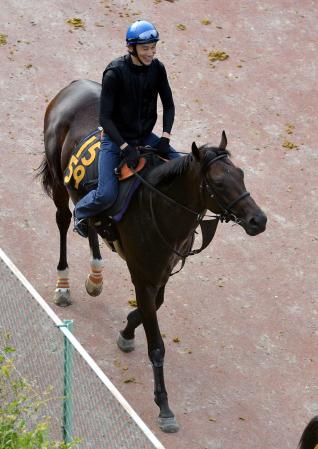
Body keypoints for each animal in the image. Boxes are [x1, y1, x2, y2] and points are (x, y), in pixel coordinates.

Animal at [36, 79, 266, 432]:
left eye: (240, 174)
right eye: (217, 181)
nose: (259, 220)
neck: (159, 205)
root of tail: (72, 86)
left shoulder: (163, 271)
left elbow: (155, 306)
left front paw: (127, 331)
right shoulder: (142, 275)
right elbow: (156, 344)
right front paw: (164, 407)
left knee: (89, 219)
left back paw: (95, 275)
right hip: (59, 179)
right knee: (64, 219)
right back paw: (64, 284)